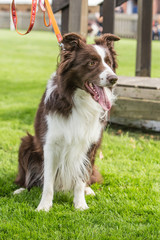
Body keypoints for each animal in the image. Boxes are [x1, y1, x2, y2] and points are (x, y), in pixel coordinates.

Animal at [13, 32, 119, 211]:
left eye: (109, 63)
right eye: (91, 63)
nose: (114, 78)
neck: (78, 98)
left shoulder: (88, 144)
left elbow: (80, 178)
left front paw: (80, 204)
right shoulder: (50, 144)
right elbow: (48, 182)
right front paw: (44, 207)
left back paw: (88, 190)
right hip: (26, 143)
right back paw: (22, 189)